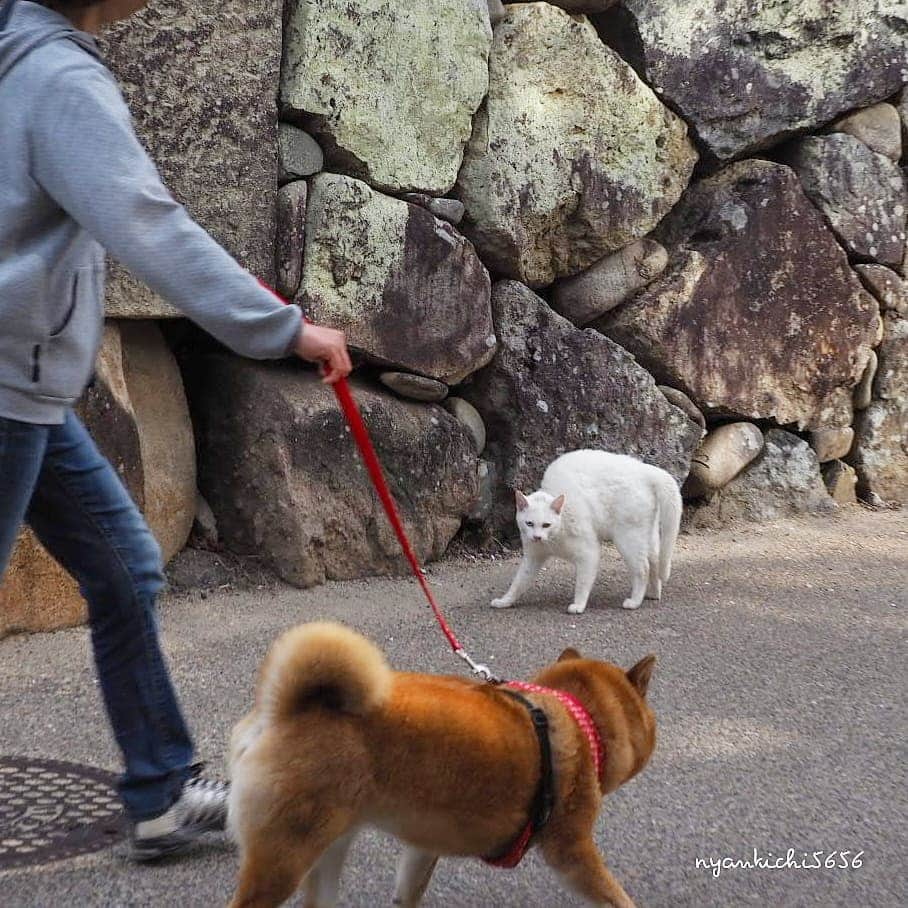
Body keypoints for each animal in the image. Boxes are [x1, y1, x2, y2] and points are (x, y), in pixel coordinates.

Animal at [226, 620, 652, 904]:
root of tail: (285, 711)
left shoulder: (423, 847)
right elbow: (613, 895)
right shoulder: (570, 849)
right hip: (285, 860)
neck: (575, 716)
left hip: (328, 847)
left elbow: (408, 891)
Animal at [490, 450, 680, 612]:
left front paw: (579, 605)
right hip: (647, 535)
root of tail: (646, 470)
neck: (554, 537)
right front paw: (505, 601)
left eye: (546, 525)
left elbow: (582, 583)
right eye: (529, 523)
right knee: (655, 561)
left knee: (643, 568)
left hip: (628, 538)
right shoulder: (533, 557)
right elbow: (518, 583)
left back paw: (634, 602)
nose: (537, 537)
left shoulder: (589, 552)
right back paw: (653, 594)